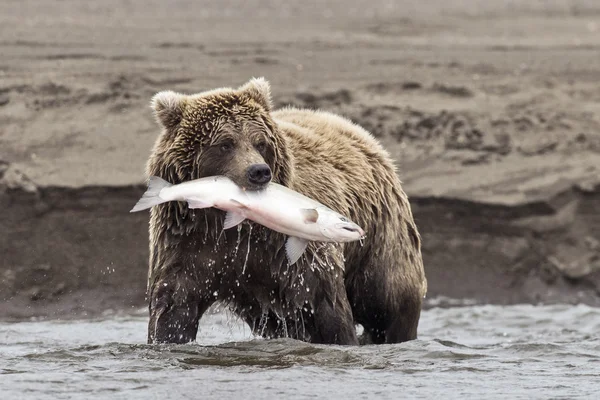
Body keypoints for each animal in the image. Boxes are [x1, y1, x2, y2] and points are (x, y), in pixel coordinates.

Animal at [144, 79, 426, 346]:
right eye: (225, 144)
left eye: (260, 142)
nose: (258, 171)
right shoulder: (189, 242)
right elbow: (174, 305)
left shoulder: (291, 254)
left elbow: (324, 306)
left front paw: (342, 339)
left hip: (381, 236)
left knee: (388, 299)